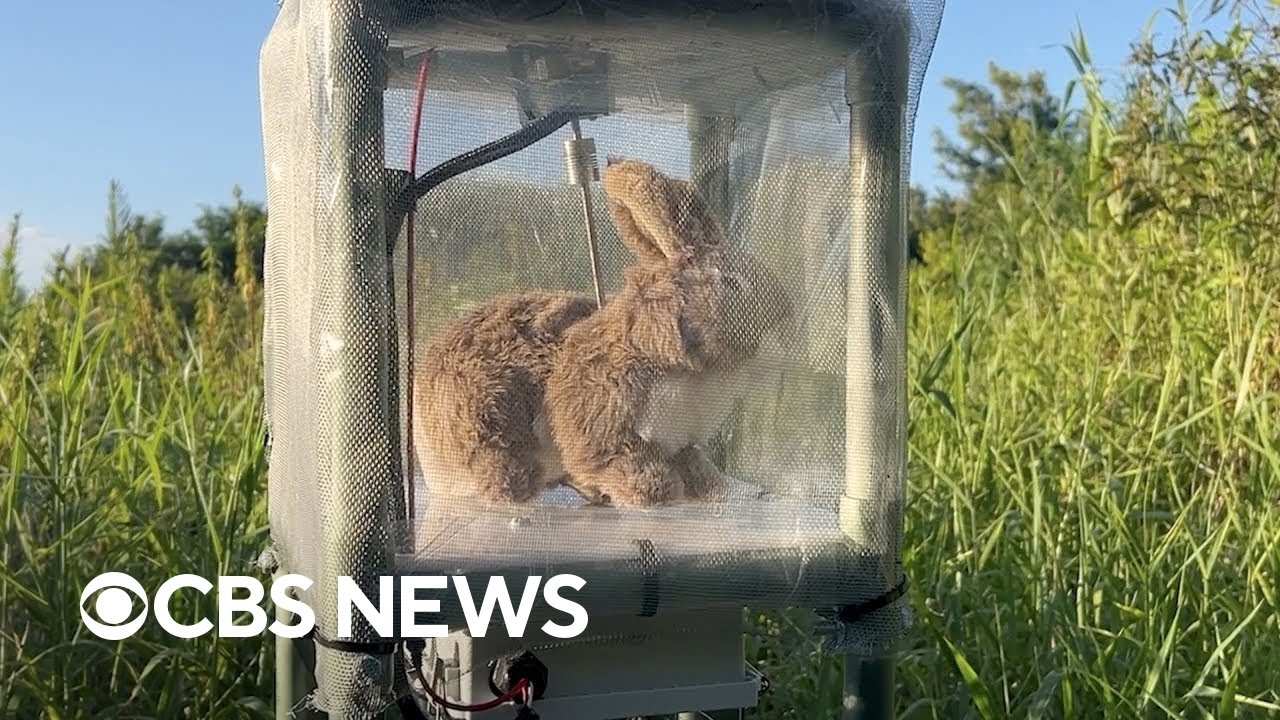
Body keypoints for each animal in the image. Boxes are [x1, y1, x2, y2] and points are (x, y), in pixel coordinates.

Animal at [544, 157, 796, 508]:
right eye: (732, 284)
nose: (789, 329)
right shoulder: (620, 428)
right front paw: (655, 493)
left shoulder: (683, 438)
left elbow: (698, 465)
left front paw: (739, 491)